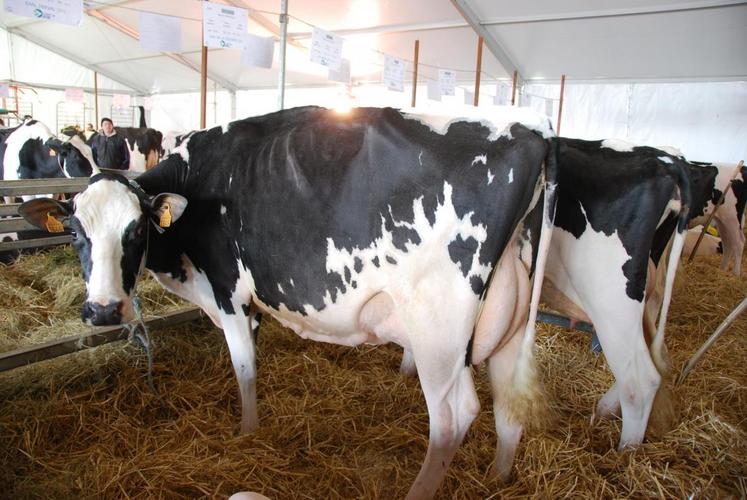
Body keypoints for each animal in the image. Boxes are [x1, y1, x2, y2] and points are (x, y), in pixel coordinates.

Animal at [19, 106, 558, 499]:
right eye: (75, 233)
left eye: (135, 232)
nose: (104, 310)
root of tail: (532, 133)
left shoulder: (228, 291)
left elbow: (244, 369)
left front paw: (246, 434)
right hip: (507, 322)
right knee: (507, 408)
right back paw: (499, 478)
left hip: (438, 333)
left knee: (454, 417)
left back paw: (419, 491)